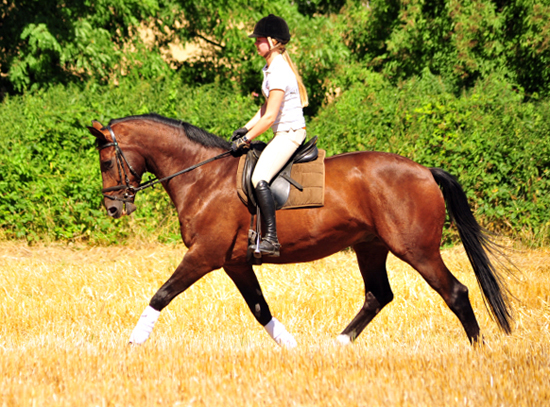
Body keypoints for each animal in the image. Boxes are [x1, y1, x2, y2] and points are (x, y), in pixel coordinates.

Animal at [86, 114, 512, 348]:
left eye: (106, 161)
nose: (113, 208)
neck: (202, 176)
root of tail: (424, 170)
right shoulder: (235, 263)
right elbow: (260, 309)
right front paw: (292, 350)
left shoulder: (204, 254)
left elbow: (162, 294)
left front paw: (133, 342)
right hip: (370, 247)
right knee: (378, 295)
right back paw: (336, 345)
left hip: (416, 249)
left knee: (455, 292)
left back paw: (478, 351)